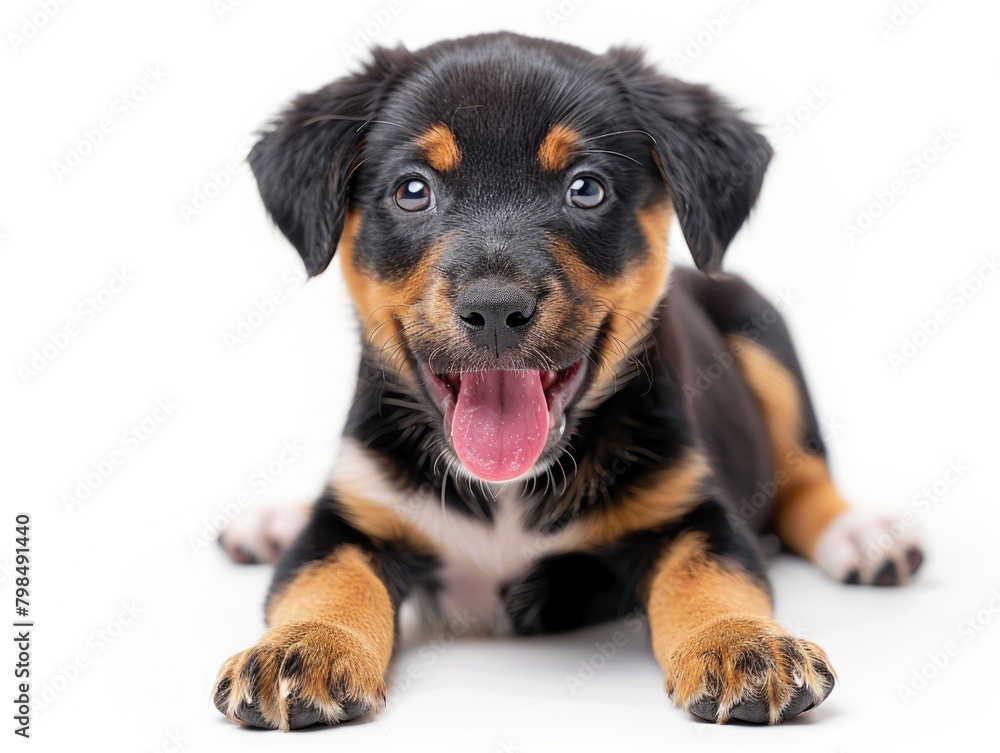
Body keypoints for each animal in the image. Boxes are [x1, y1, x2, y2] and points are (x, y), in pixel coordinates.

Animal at [215, 30, 924, 728]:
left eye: (586, 189)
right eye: (412, 190)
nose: (495, 309)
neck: (506, 492)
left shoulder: (690, 510)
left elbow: (711, 575)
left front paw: (740, 642)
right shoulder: (351, 520)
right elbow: (324, 579)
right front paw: (304, 647)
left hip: (760, 330)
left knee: (803, 473)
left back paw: (864, 537)